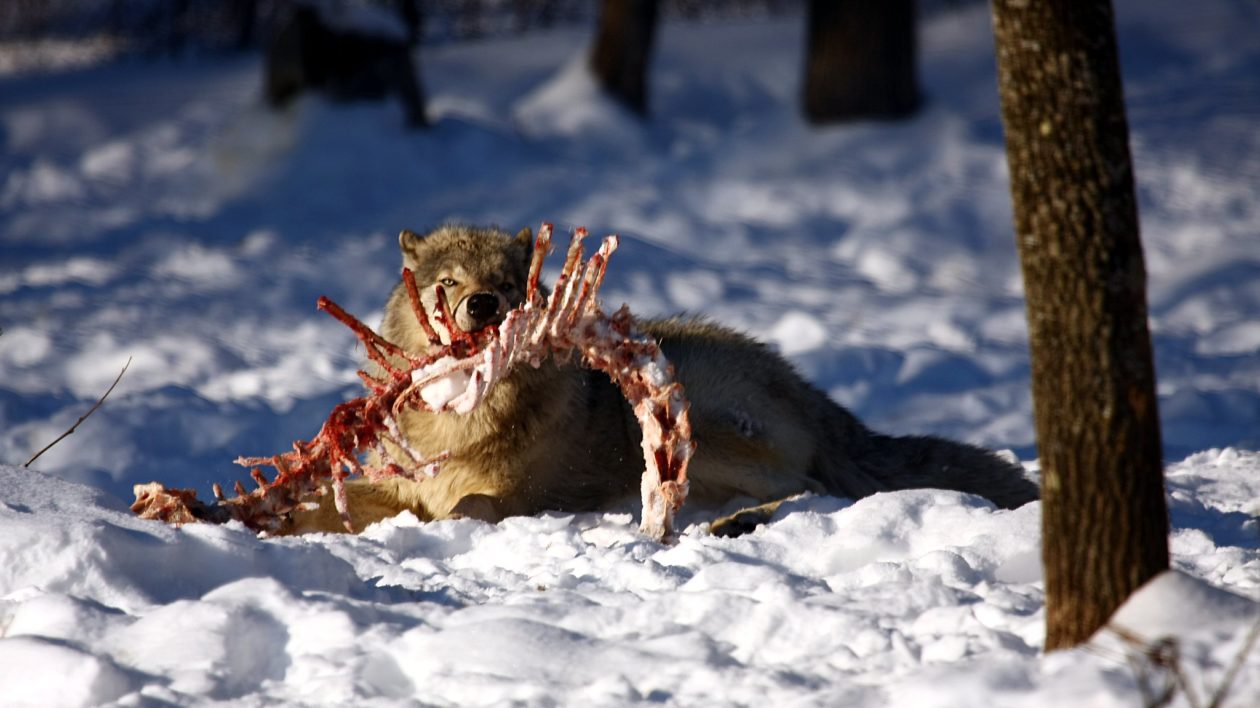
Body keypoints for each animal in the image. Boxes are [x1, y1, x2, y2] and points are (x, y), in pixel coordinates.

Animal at [289, 225, 1038, 534]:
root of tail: (805, 386)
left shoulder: (519, 495)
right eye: (448, 283)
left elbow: (468, 507)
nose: (482, 305)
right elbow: (324, 506)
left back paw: (737, 523)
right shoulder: (395, 487)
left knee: (811, 490)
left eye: (505, 284)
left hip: (685, 422)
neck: (460, 415)